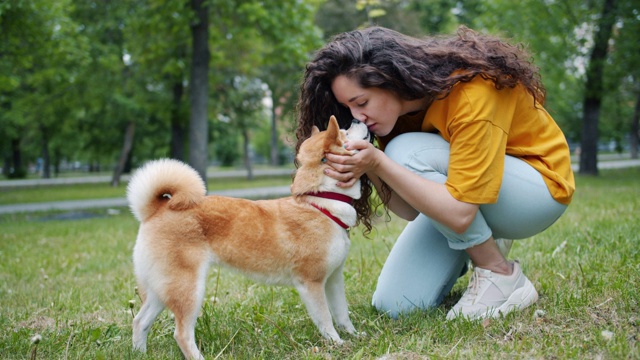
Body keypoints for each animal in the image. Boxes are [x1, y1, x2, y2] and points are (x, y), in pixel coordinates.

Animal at [127, 116, 370, 360]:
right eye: (345, 132)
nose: (356, 119)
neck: (322, 203)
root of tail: (156, 210)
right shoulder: (312, 282)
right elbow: (326, 319)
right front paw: (337, 343)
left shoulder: (334, 279)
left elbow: (342, 313)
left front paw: (354, 336)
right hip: (188, 289)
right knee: (182, 334)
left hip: (162, 288)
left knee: (140, 321)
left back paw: (140, 353)